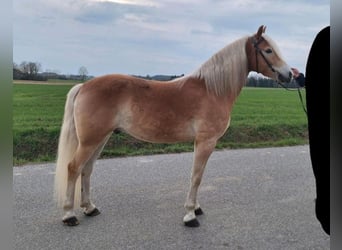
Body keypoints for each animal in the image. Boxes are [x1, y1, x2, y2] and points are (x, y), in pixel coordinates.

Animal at [54, 25, 292, 227]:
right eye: (268, 50)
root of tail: (84, 86)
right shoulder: (206, 141)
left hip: (100, 139)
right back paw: (69, 214)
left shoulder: (201, 142)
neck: (212, 90)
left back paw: (89, 208)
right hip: (90, 140)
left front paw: (195, 208)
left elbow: (197, 174)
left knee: (86, 170)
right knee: (73, 168)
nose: (289, 74)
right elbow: (196, 176)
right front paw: (190, 215)